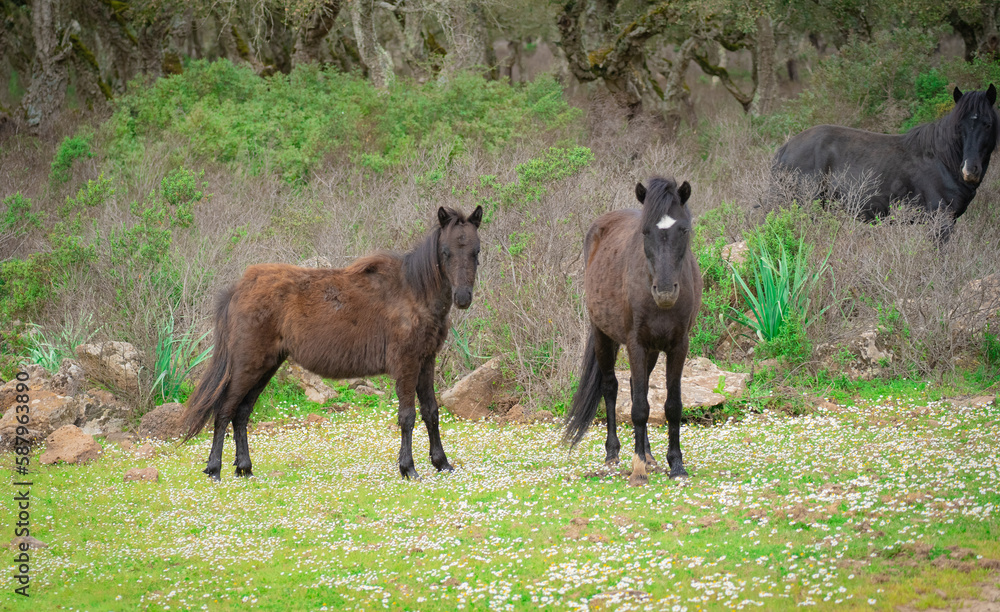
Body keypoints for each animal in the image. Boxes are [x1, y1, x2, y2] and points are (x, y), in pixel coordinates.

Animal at [181, 206, 483, 480]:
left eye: (476, 252)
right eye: (445, 252)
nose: (463, 297)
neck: (413, 291)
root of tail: (240, 287)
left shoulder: (426, 361)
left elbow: (431, 411)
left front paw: (442, 462)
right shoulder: (407, 363)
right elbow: (407, 416)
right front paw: (408, 468)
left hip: (265, 366)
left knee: (241, 413)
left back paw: (244, 467)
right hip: (248, 365)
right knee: (224, 411)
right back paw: (214, 469)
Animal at [563, 177, 703, 486]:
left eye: (683, 229)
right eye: (645, 232)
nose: (665, 291)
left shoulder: (678, 346)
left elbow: (672, 405)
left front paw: (676, 464)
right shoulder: (635, 344)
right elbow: (639, 408)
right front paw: (638, 469)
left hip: (651, 350)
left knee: (637, 387)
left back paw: (648, 454)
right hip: (603, 337)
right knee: (611, 387)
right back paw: (613, 453)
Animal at [772, 84, 999, 238]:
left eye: (988, 124)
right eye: (959, 126)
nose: (970, 170)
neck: (942, 160)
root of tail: (786, 147)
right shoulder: (940, 222)